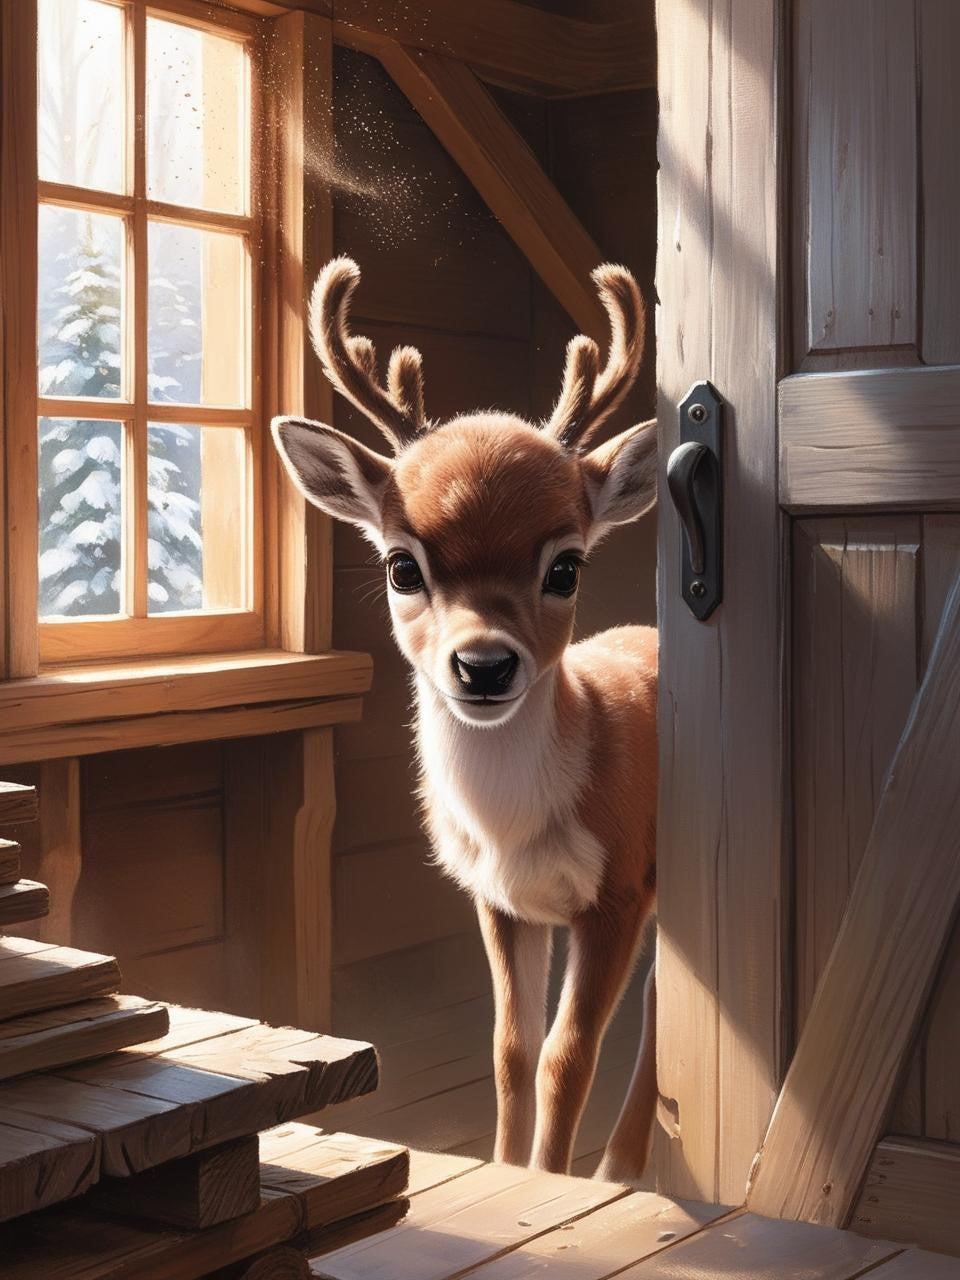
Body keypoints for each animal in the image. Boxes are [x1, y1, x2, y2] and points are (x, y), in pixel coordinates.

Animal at [272, 256, 659, 1183]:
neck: (517, 825)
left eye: (566, 567)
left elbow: (567, 1056)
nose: (483, 665)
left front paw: (550, 1184)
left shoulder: (619, 888)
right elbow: (510, 1052)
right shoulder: (499, 899)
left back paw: (616, 1173)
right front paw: (509, 1169)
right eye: (400, 565)